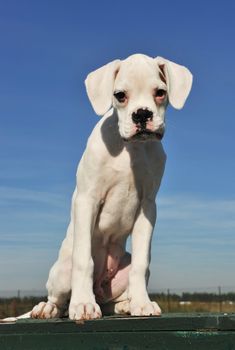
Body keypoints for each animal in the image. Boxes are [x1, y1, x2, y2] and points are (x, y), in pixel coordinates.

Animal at [28, 54, 191, 320]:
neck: (130, 149)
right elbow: (84, 259)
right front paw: (83, 304)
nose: (142, 114)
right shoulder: (87, 200)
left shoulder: (147, 207)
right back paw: (48, 308)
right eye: (120, 95)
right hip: (62, 273)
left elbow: (141, 263)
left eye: (160, 93)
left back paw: (125, 304)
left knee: (111, 300)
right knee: (59, 298)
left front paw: (141, 303)